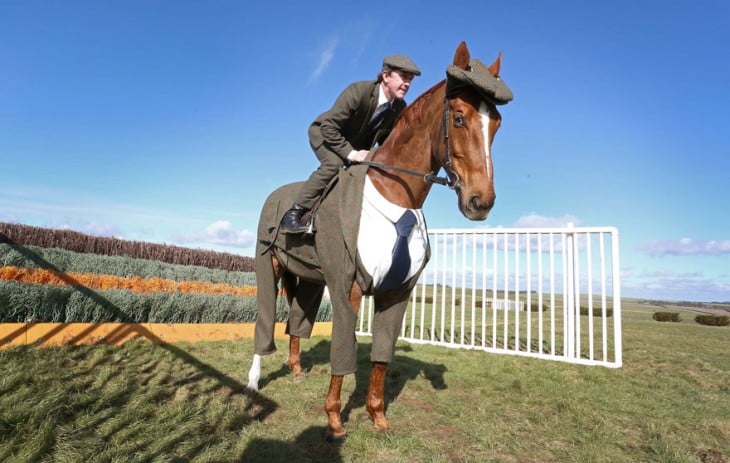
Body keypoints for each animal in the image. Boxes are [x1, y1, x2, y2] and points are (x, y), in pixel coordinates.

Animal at [245, 40, 512, 442]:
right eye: (459, 117)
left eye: (495, 122)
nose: (480, 202)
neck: (394, 195)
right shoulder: (347, 287)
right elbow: (343, 352)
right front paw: (334, 420)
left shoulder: (397, 293)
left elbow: (381, 359)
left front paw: (377, 417)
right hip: (270, 265)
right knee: (265, 318)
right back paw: (253, 380)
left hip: (308, 279)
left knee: (296, 320)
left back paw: (296, 369)